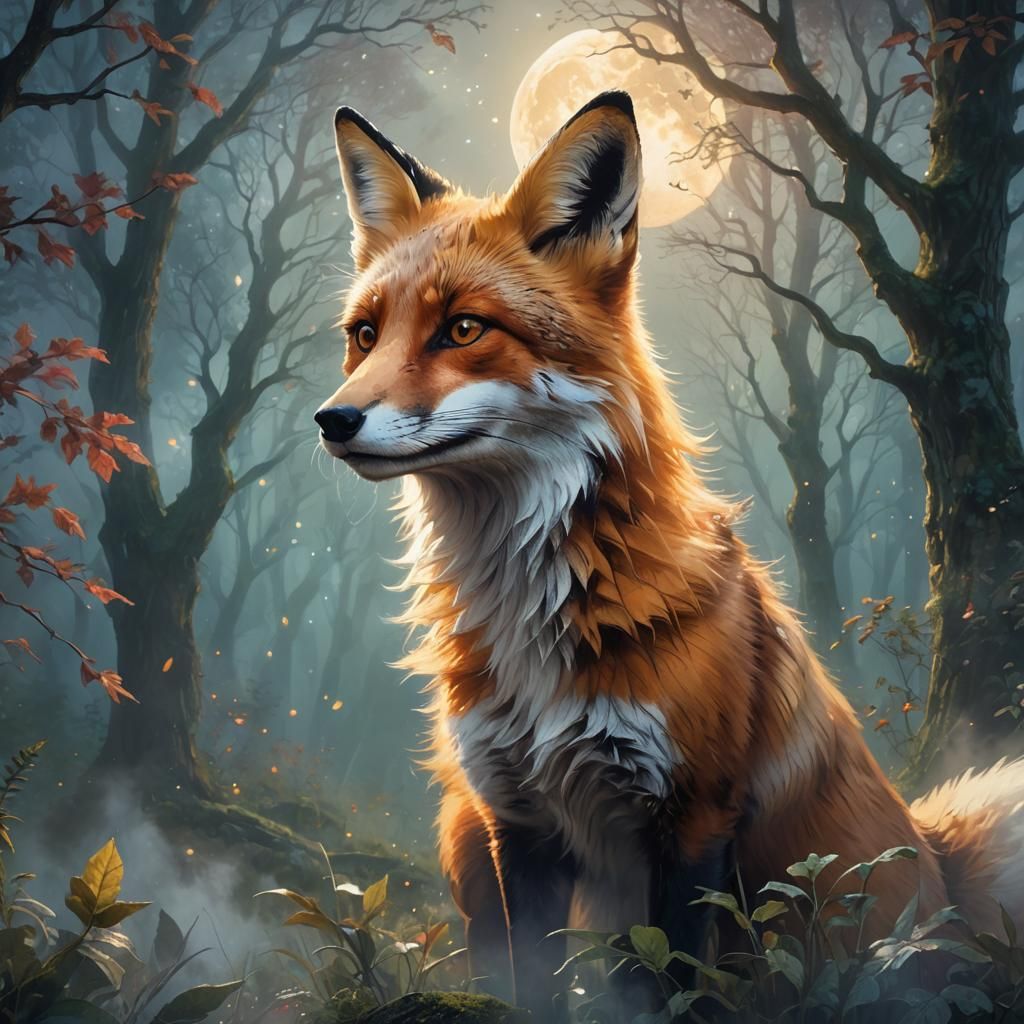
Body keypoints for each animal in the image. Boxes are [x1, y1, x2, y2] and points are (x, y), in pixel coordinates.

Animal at [315, 91, 1024, 1020]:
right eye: (365, 335)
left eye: (462, 329)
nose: (332, 420)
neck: (539, 619)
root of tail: (940, 870)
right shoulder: (515, 817)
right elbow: (534, 983)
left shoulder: (694, 817)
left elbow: (677, 981)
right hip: (462, 830)